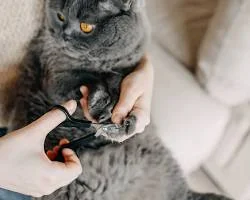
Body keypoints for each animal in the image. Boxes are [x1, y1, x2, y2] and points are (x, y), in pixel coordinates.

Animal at [8, 0, 232, 200]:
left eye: (86, 27)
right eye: (60, 17)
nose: (64, 36)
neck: (100, 62)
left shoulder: (129, 70)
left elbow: (118, 85)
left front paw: (121, 121)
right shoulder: (56, 71)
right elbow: (85, 82)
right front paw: (99, 102)